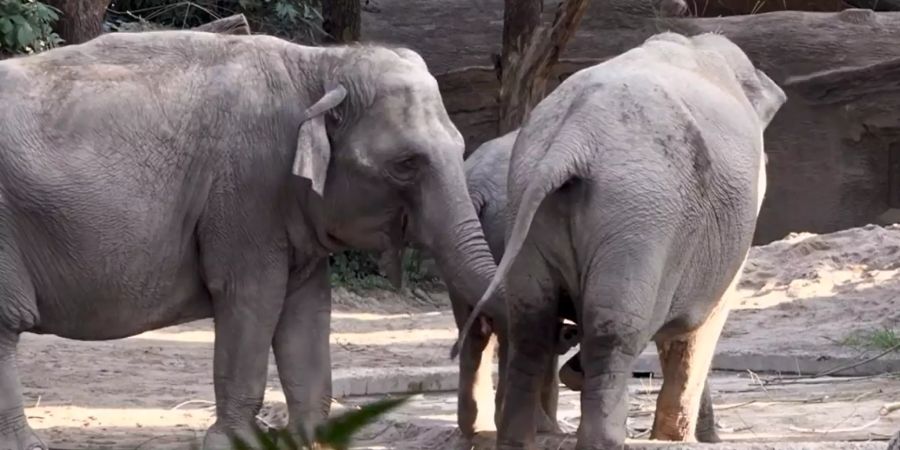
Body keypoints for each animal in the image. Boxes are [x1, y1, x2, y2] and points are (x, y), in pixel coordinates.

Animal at [0, 29, 502, 448]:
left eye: (460, 148)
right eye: (406, 163)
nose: (458, 341)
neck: (319, 64)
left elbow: (306, 310)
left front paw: (312, 438)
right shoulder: (247, 192)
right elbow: (252, 298)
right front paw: (232, 442)